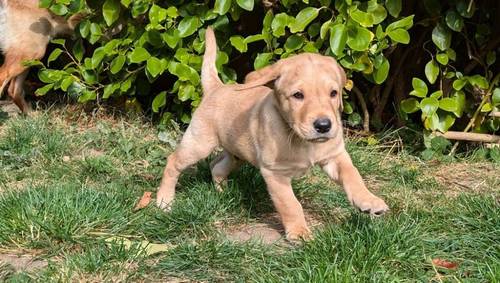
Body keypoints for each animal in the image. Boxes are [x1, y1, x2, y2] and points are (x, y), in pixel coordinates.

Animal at [158, 27, 388, 242]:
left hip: (237, 152)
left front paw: (369, 200)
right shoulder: (274, 173)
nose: (323, 125)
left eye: (333, 93)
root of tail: (216, 87)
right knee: (173, 162)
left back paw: (224, 192)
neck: (299, 138)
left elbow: (353, 175)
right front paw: (299, 232)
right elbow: (290, 204)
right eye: (297, 95)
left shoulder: (335, 155)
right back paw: (164, 201)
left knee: (217, 166)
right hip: (198, 144)